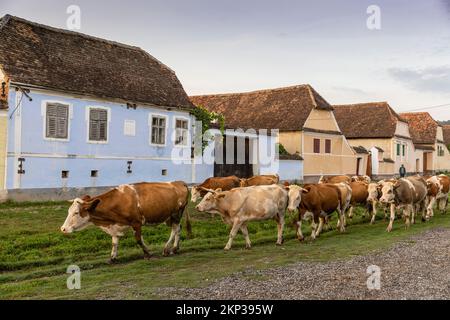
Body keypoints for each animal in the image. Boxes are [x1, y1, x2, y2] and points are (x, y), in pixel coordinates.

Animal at [61, 182, 190, 262]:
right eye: (68, 211)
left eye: (76, 213)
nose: (63, 229)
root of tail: (179, 182)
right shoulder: (115, 226)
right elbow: (114, 242)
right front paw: (112, 258)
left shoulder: (136, 223)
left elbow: (138, 240)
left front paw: (147, 254)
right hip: (170, 217)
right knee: (178, 229)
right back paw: (175, 248)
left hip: (176, 214)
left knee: (175, 229)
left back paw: (167, 249)